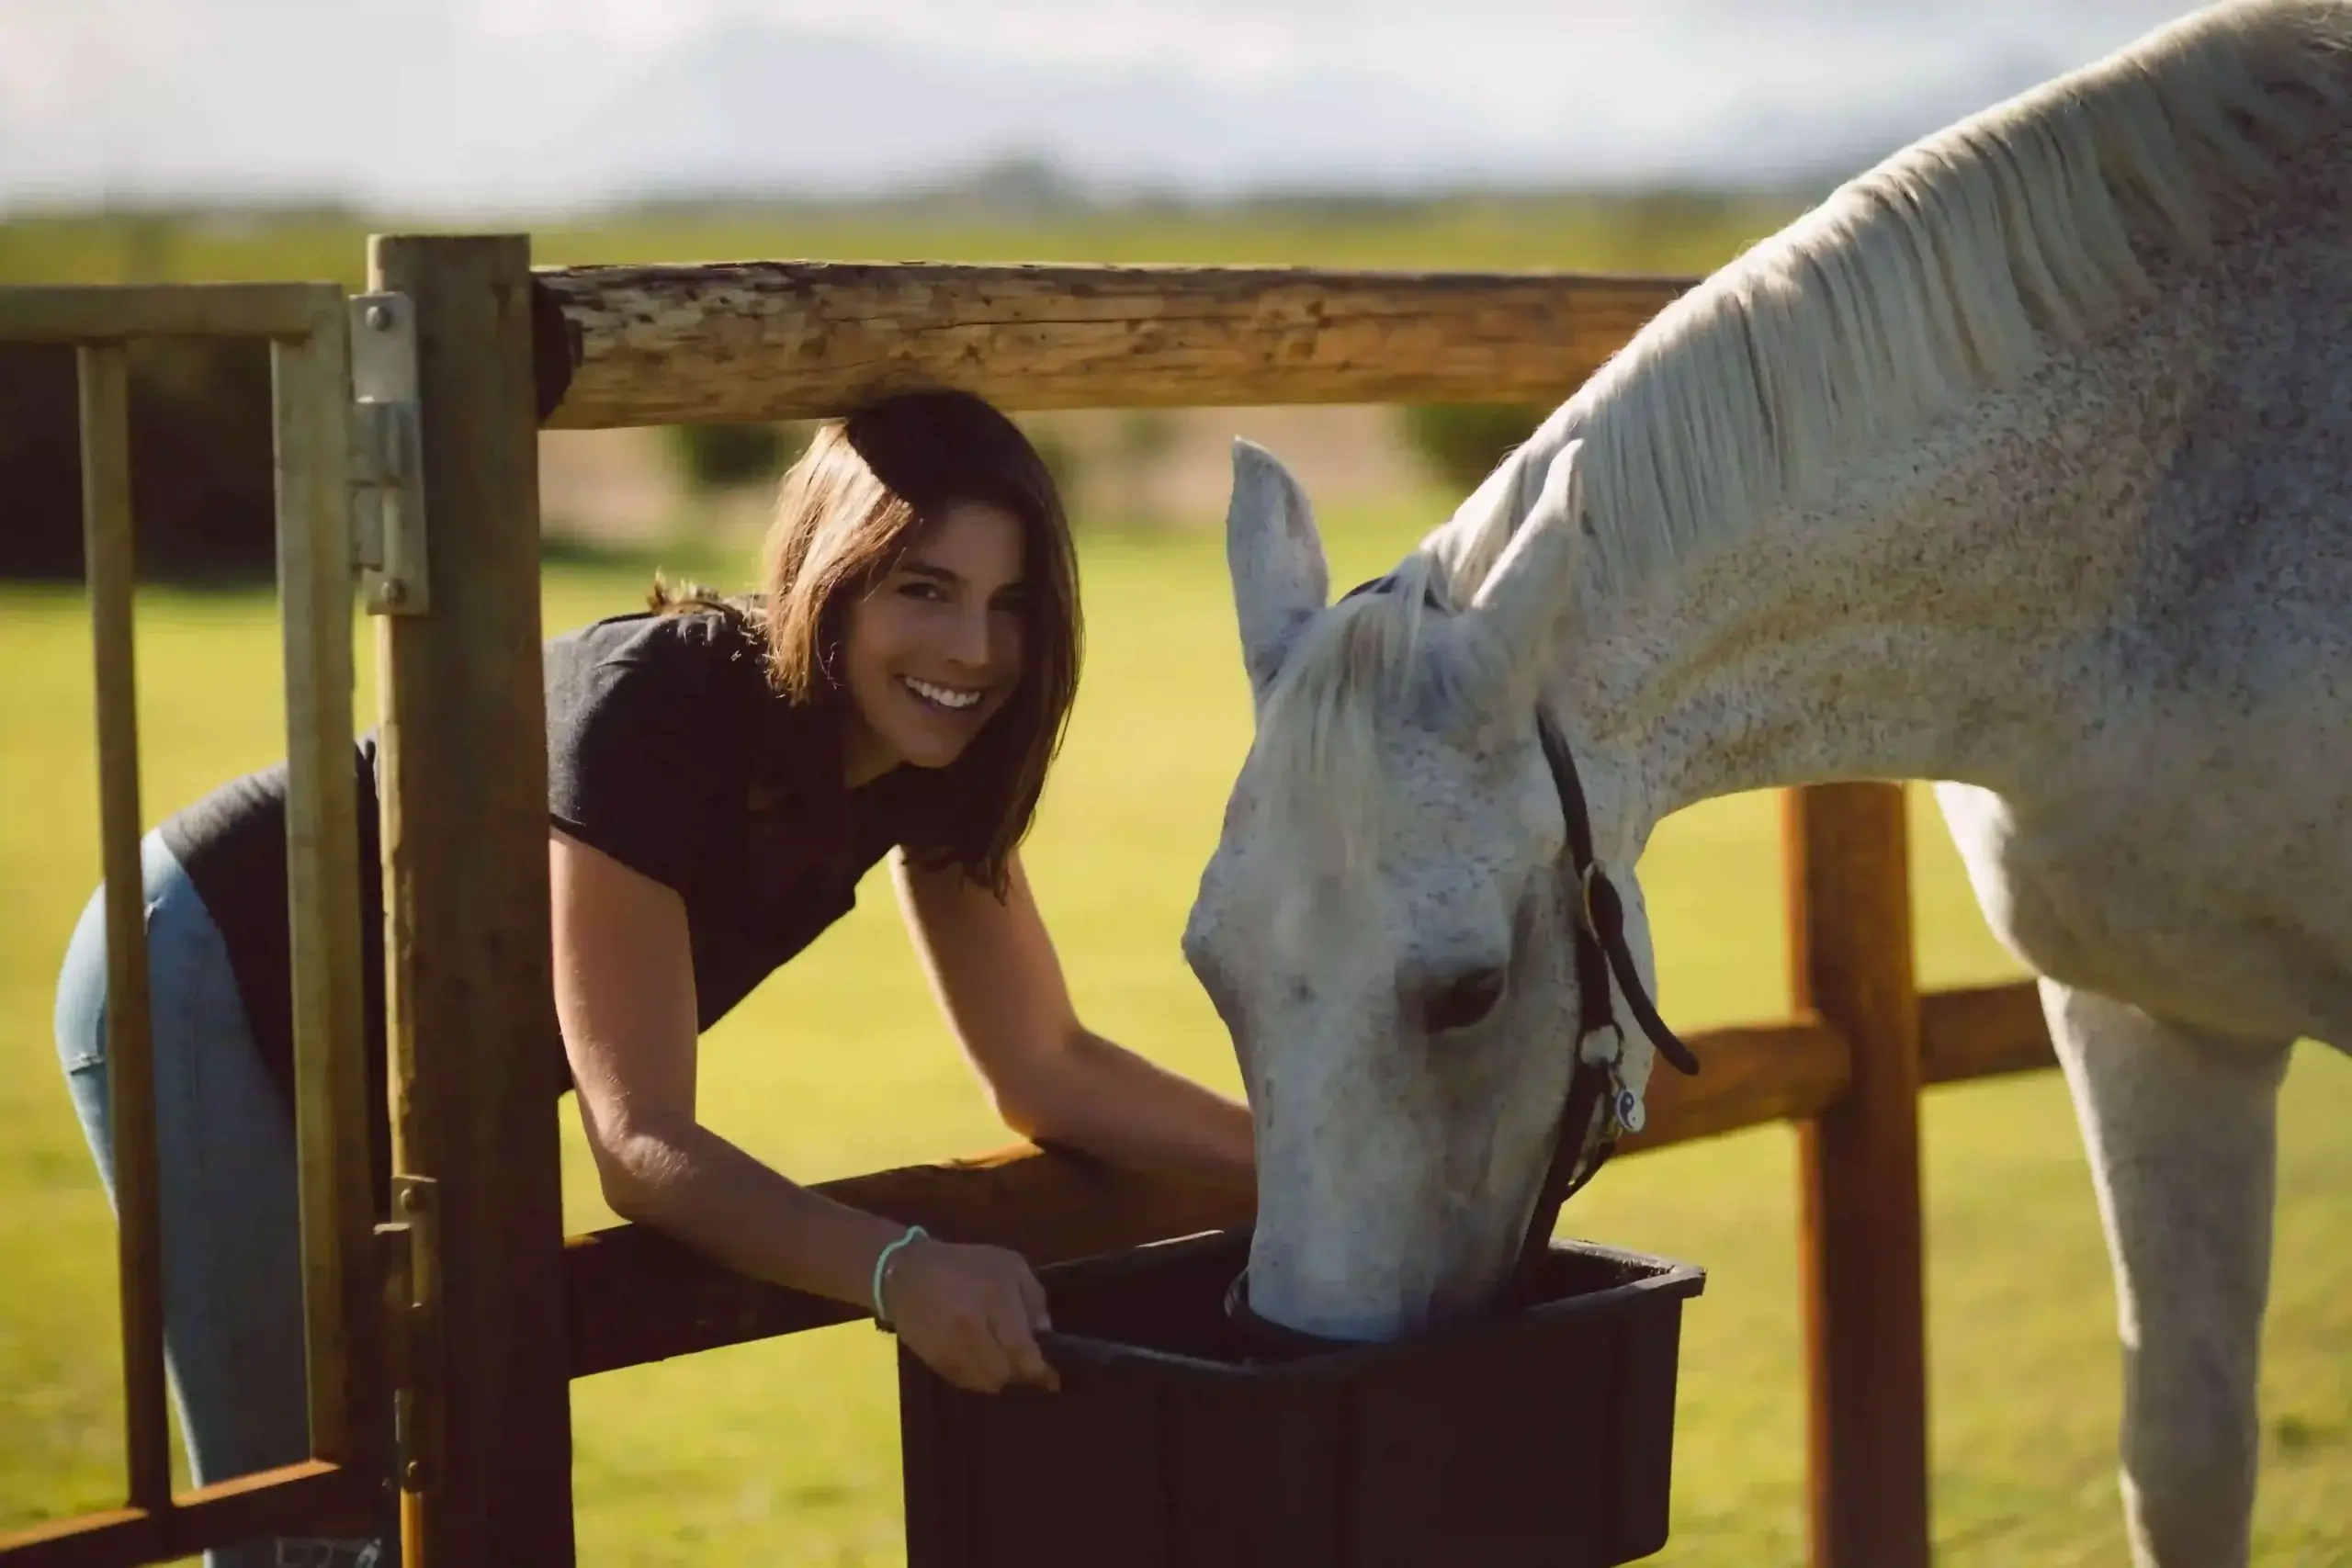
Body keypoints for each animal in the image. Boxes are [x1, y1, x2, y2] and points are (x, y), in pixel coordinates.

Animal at [1179, 4, 2352, 1563]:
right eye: (1212, 968)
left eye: (1469, 990)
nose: (1303, 1352)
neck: (2184, 504)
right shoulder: (2155, 1024)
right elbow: (2185, 1455)